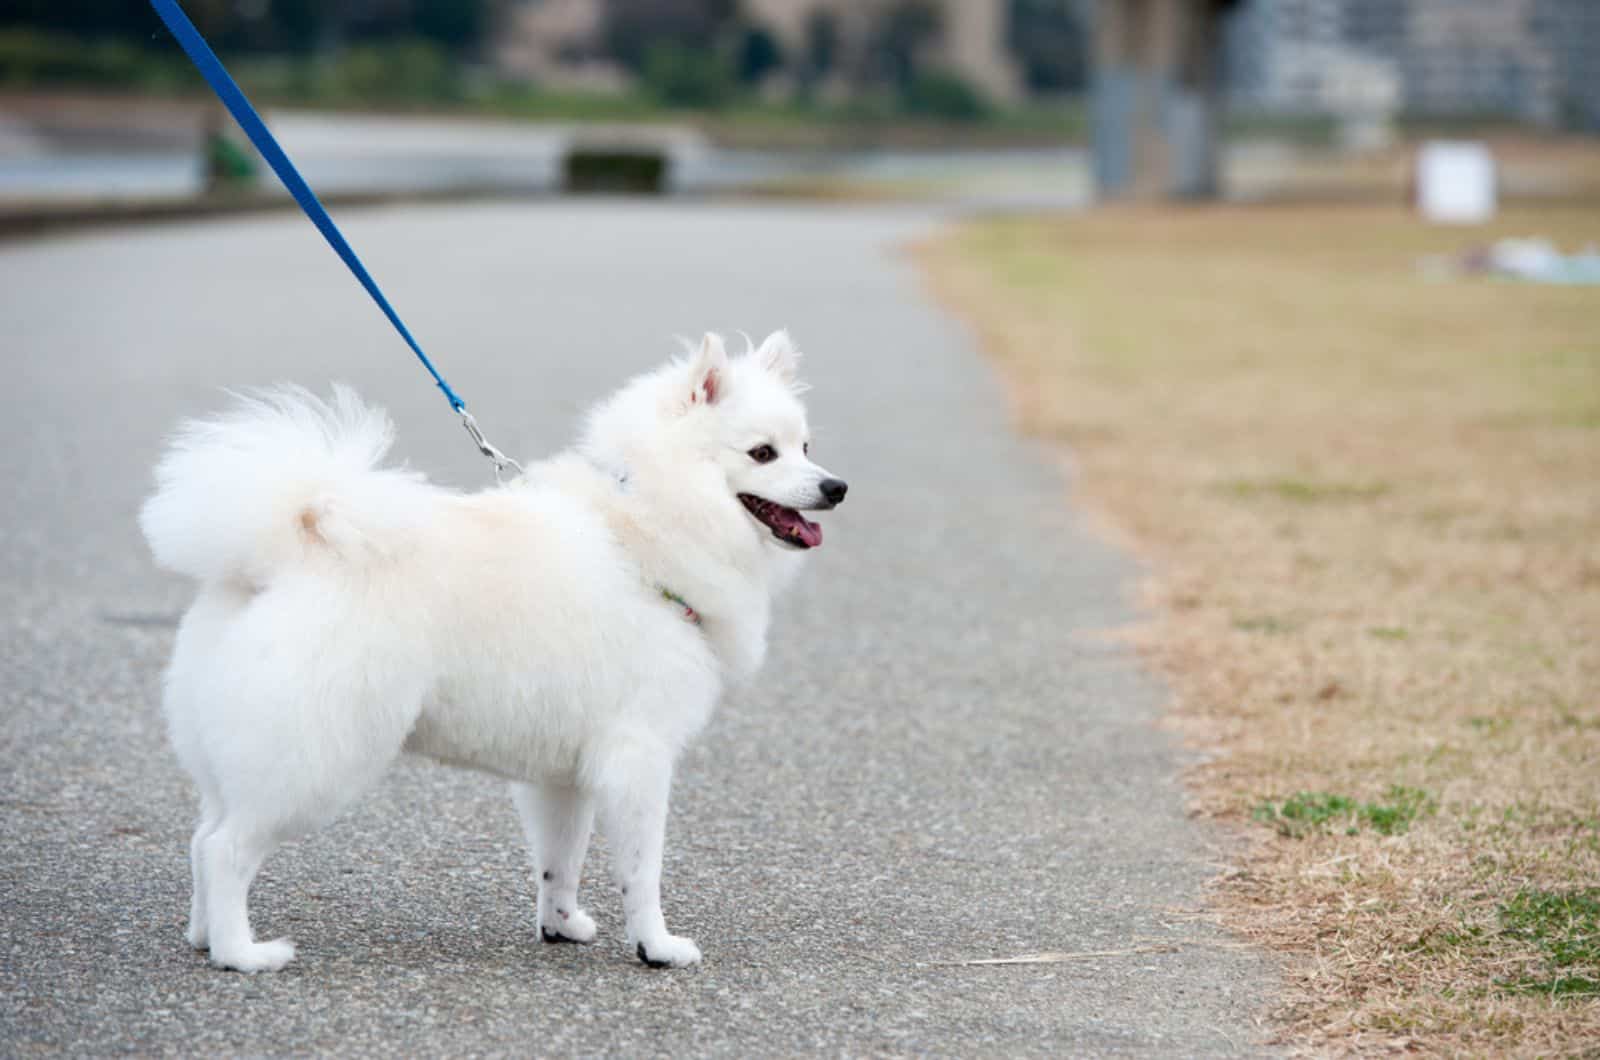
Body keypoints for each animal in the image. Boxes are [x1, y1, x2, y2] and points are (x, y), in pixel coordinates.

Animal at [142, 333, 844, 973]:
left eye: (807, 447)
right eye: (762, 453)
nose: (836, 486)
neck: (642, 529)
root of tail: (278, 555)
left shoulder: (564, 773)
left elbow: (560, 861)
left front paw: (561, 925)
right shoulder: (638, 755)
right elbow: (643, 871)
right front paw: (656, 946)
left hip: (236, 752)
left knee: (201, 838)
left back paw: (203, 937)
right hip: (315, 758)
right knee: (226, 849)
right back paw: (242, 954)